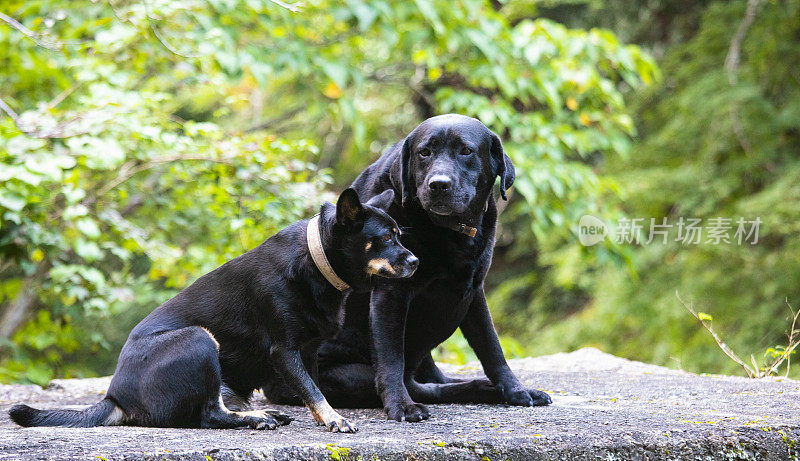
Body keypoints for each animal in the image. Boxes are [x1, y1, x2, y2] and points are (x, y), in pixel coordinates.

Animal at [9, 187, 418, 432]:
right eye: (385, 238)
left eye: (401, 235)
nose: (416, 261)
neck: (315, 262)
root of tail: (116, 397)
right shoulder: (284, 351)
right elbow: (312, 390)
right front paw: (334, 420)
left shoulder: (309, 350)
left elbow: (312, 387)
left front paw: (324, 415)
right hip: (199, 340)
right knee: (208, 414)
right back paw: (254, 419)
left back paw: (259, 413)